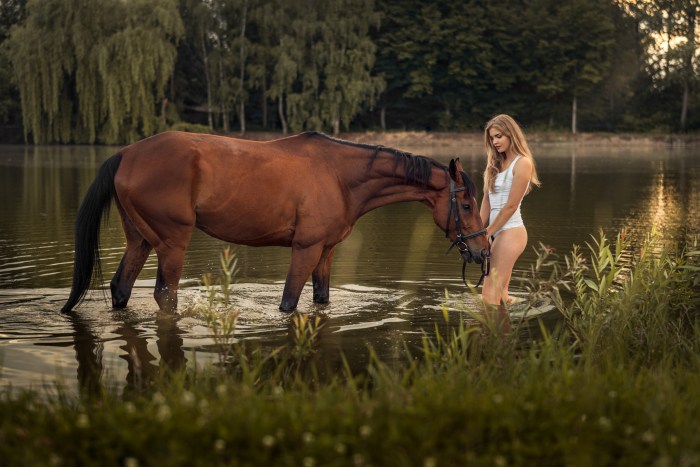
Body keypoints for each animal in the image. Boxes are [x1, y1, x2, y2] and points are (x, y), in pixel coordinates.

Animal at [61, 131, 489, 314]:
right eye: (468, 203)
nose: (483, 251)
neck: (340, 175)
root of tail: (126, 154)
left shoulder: (325, 252)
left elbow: (321, 298)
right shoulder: (305, 249)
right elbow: (288, 303)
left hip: (140, 240)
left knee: (121, 288)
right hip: (171, 244)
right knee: (165, 296)